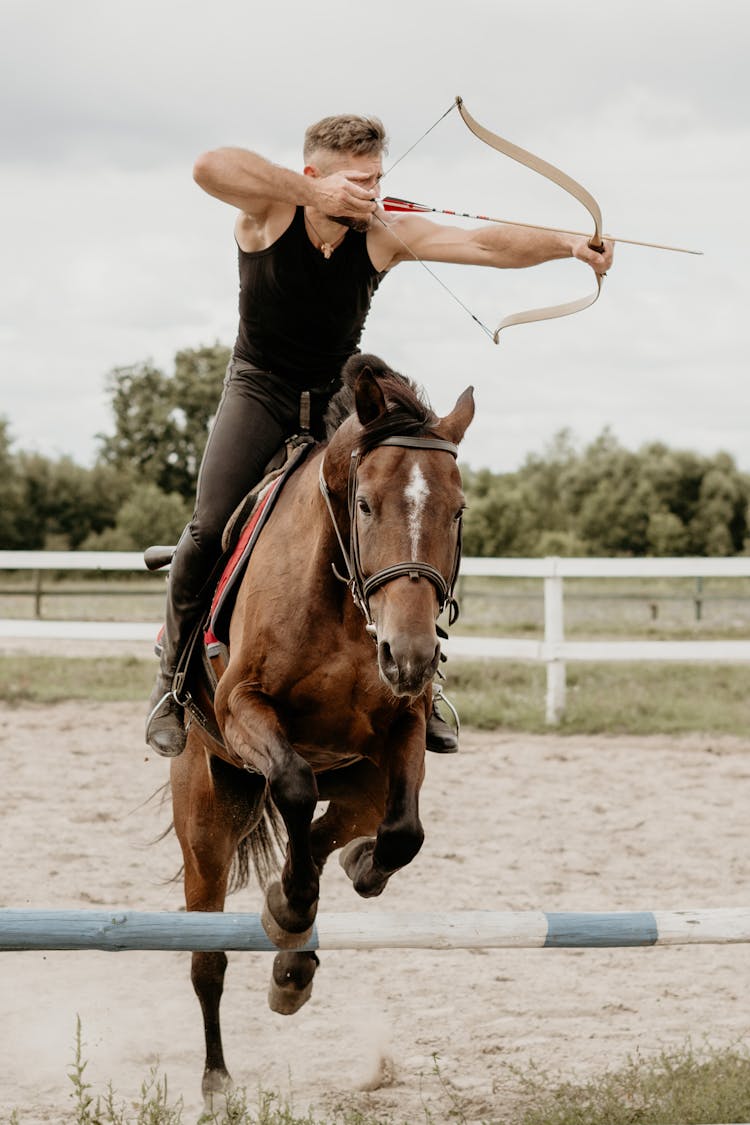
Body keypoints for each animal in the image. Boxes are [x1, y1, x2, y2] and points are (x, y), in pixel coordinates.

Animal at [169, 353, 474, 1107]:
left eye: (457, 511)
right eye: (364, 505)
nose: (411, 654)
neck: (340, 598)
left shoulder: (402, 723)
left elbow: (403, 831)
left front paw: (341, 881)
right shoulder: (244, 708)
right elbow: (294, 784)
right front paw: (289, 908)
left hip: (362, 782)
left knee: (341, 829)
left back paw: (299, 950)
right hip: (206, 817)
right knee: (207, 956)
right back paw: (219, 1076)